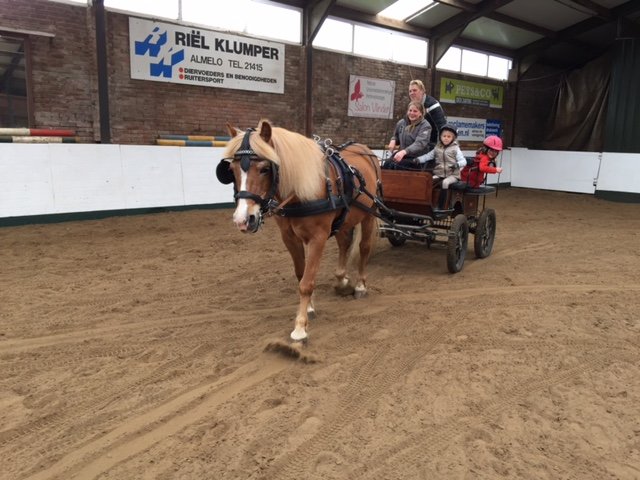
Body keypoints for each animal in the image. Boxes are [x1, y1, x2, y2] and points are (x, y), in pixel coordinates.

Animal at [216, 119, 381, 343]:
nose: (243, 220)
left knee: (364, 247)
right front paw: (309, 308)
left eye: (264, 169)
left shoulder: (318, 238)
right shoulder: (289, 238)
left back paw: (360, 285)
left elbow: (307, 282)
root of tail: (365, 149)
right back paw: (341, 280)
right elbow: (300, 274)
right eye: (231, 169)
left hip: (369, 214)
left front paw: (300, 327)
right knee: (344, 244)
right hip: (344, 219)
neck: (303, 190)